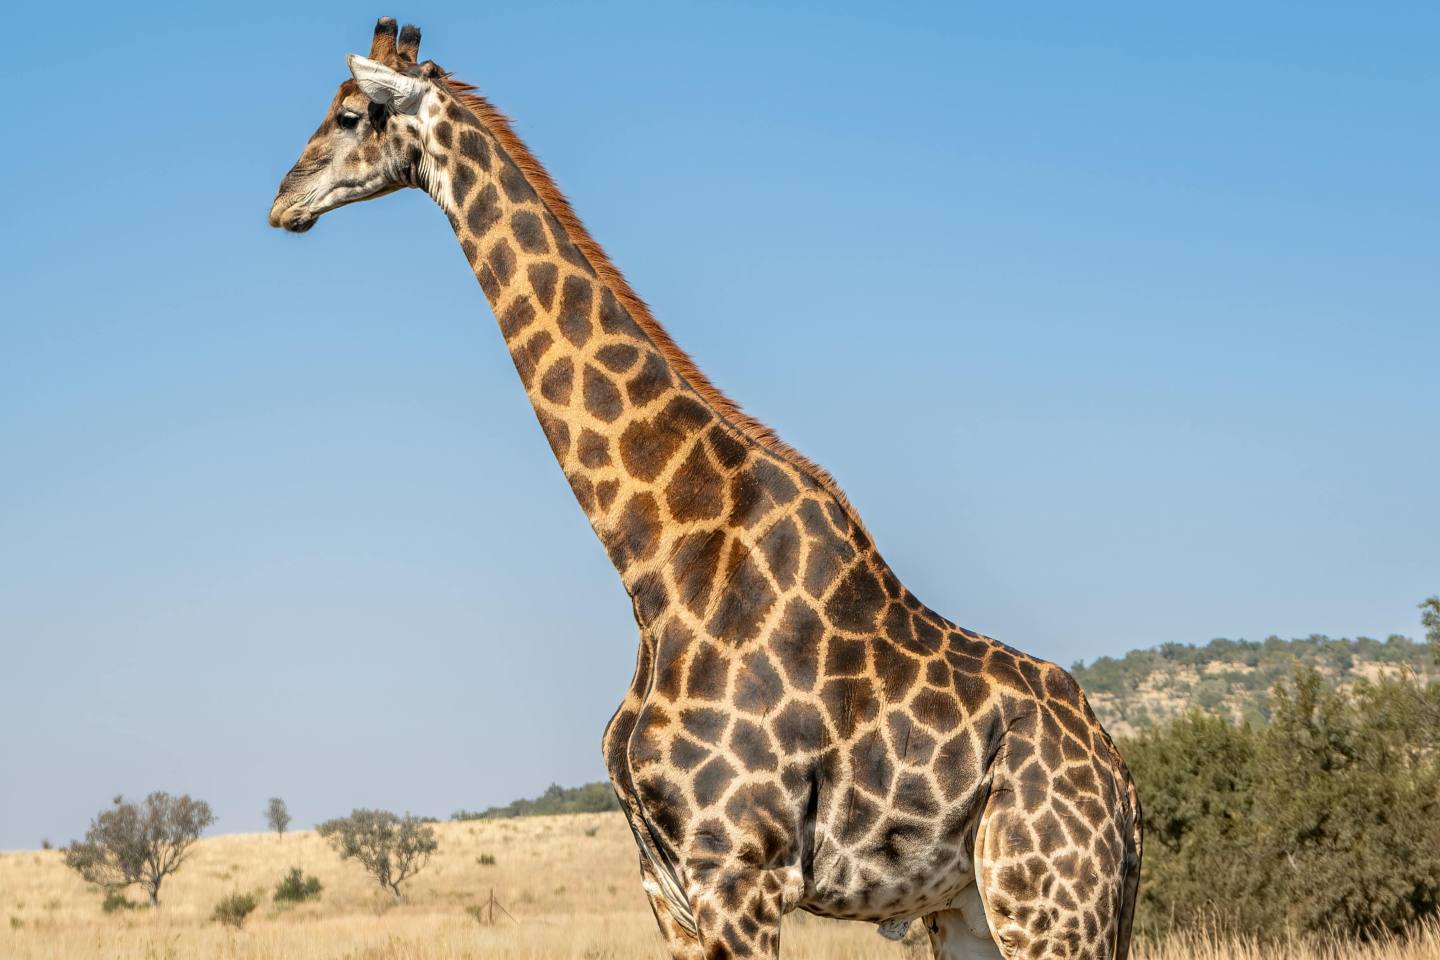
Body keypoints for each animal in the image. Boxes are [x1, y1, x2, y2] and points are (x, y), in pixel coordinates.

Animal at [269, 19, 1142, 960]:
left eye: (350, 113)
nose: (284, 199)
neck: (659, 566)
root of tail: (1126, 791)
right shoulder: (667, 881)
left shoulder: (738, 868)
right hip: (970, 910)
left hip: (1048, 905)